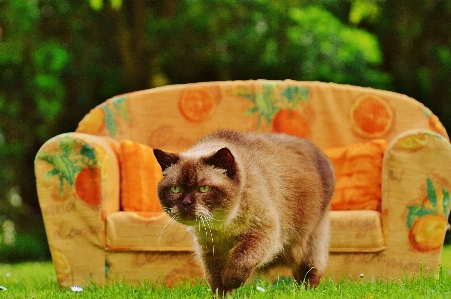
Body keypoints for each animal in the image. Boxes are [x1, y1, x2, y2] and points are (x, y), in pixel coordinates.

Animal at [154, 131, 334, 298]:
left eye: (203, 189)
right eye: (175, 189)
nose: (185, 204)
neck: (222, 226)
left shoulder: (262, 232)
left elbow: (241, 261)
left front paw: (230, 281)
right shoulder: (211, 249)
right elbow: (216, 281)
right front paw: (224, 294)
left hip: (310, 243)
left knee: (309, 273)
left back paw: (305, 293)